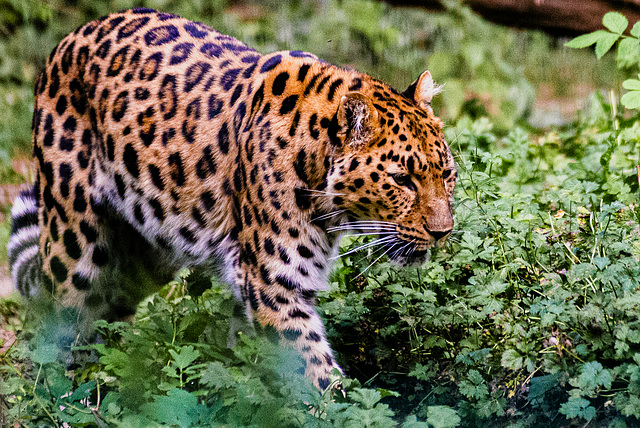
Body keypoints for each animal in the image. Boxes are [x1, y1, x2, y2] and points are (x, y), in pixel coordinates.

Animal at [5, 8, 456, 390]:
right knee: (63, 318)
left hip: (147, 253)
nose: (443, 232)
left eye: (447, 175)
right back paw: (66, 392)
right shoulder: (274, 282)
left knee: (109, 313)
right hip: (75, 240)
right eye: (402, 180)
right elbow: (313, 369)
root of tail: (70, 38)